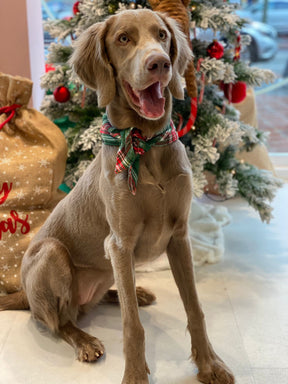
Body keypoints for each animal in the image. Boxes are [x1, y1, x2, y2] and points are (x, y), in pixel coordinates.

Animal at [0, 9, 234, 384]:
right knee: (57, 321)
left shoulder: (179, 236)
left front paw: (209, 364)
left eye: (162, 35)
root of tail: (23, 295)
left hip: (109, 267)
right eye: (123, 38)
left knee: (100, 300)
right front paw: (136, 375)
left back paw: (135, 292)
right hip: (52, 254)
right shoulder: (120, 243)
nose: (160, 63)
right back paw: (84, 340)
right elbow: (132, 324)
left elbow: (195, 308)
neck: (146, 142)